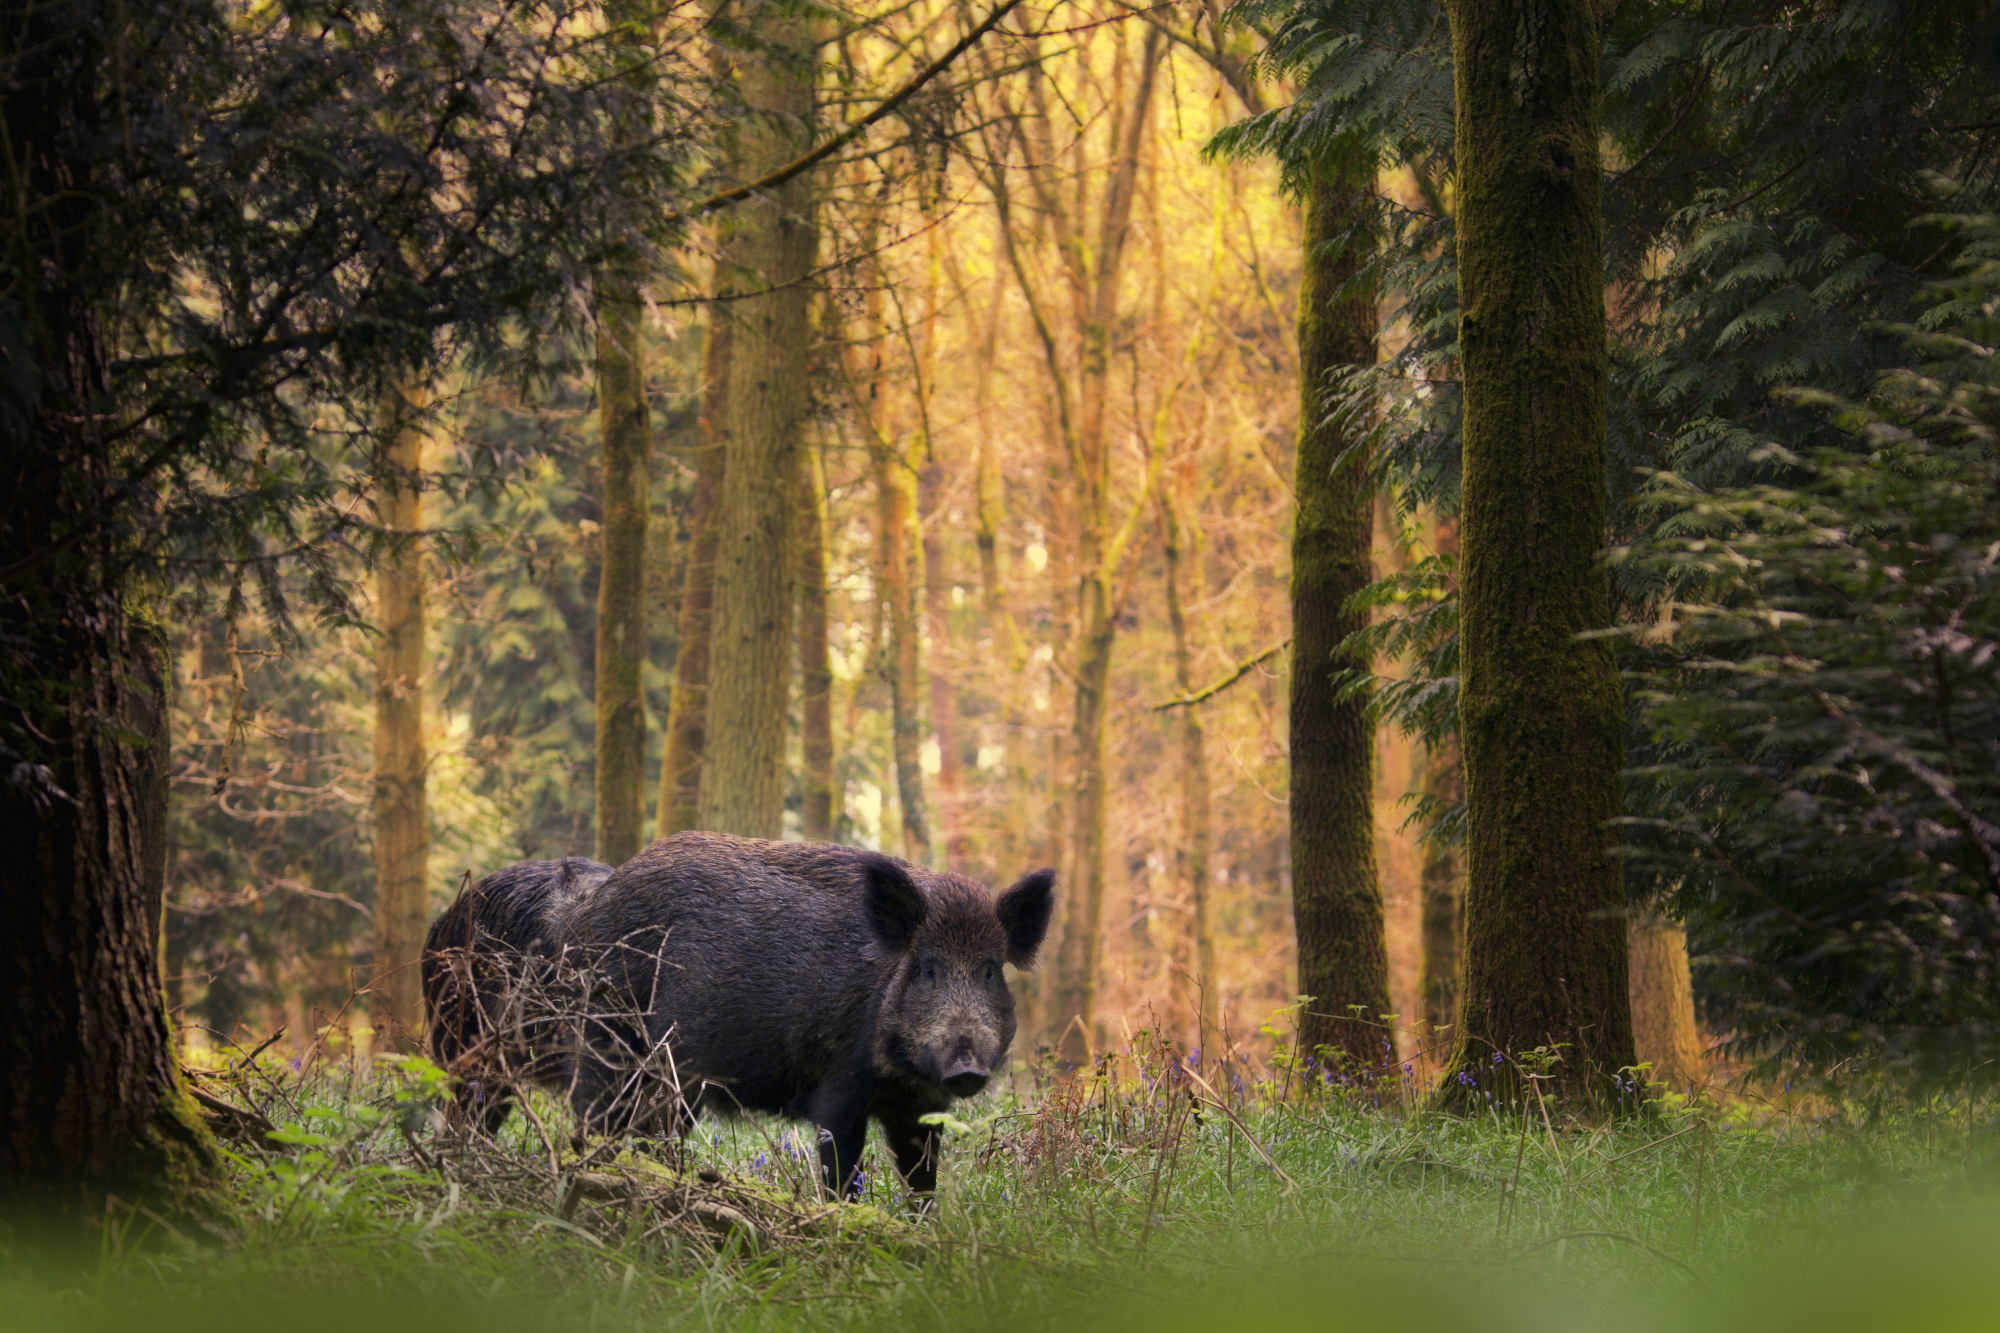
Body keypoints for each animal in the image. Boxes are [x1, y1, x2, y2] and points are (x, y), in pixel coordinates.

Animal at [559, 831, 1055, 1201]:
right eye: (927, 968)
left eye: (989, 970)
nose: (966, 1067)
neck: (898, 1073)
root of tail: (584, 912)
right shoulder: (838, 1091)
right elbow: (842, 1175)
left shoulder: (921, 1108)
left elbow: (921, 1183)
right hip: (615, 1044)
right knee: (604, 1119)